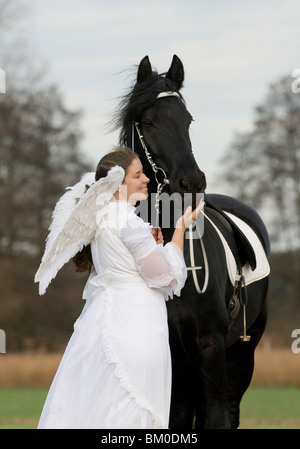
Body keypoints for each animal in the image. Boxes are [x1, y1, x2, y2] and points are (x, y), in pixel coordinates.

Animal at [115, 54, 270, 428]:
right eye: (149, 121)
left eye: (187, 120)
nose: (192, 181)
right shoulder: (169, 355)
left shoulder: (210, 347)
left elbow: (215, 418)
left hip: (243, 352)